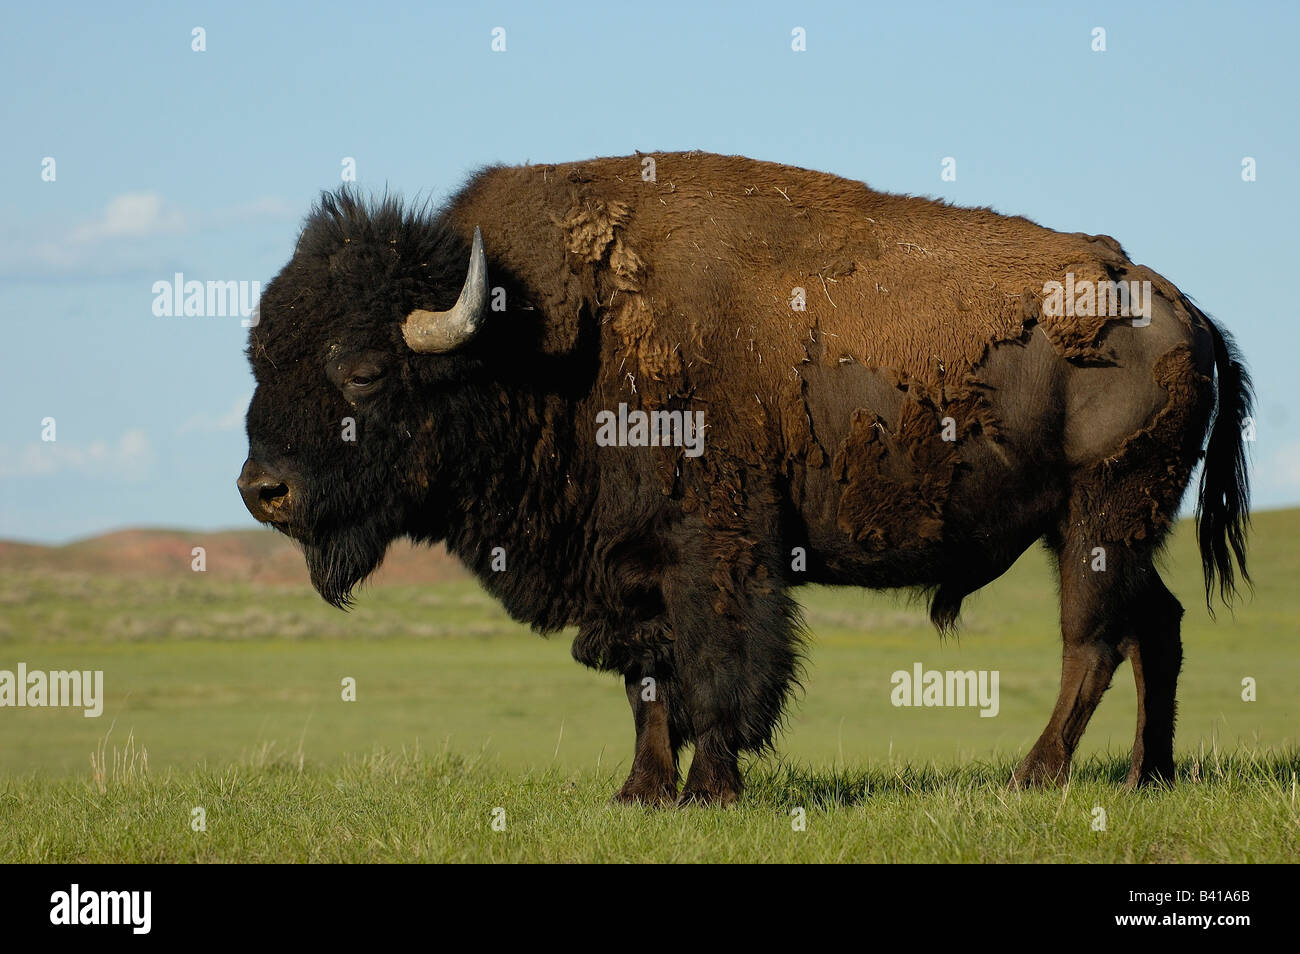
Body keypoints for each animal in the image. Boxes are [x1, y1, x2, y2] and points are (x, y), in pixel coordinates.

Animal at [239, 152, 1251, 805]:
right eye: (258, 356)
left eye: (363, 370)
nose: (262, 490)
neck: (532, 335)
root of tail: (1181, 307)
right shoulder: (630, 568)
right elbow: (648, 681)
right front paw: (639, 794)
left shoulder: (716, 555)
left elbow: (716, 672)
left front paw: (713, 790)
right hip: (1105, 525)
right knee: (1156, 626)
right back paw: (1148, 777)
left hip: (1100, 517)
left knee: (1095, 642)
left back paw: (1033, 778)